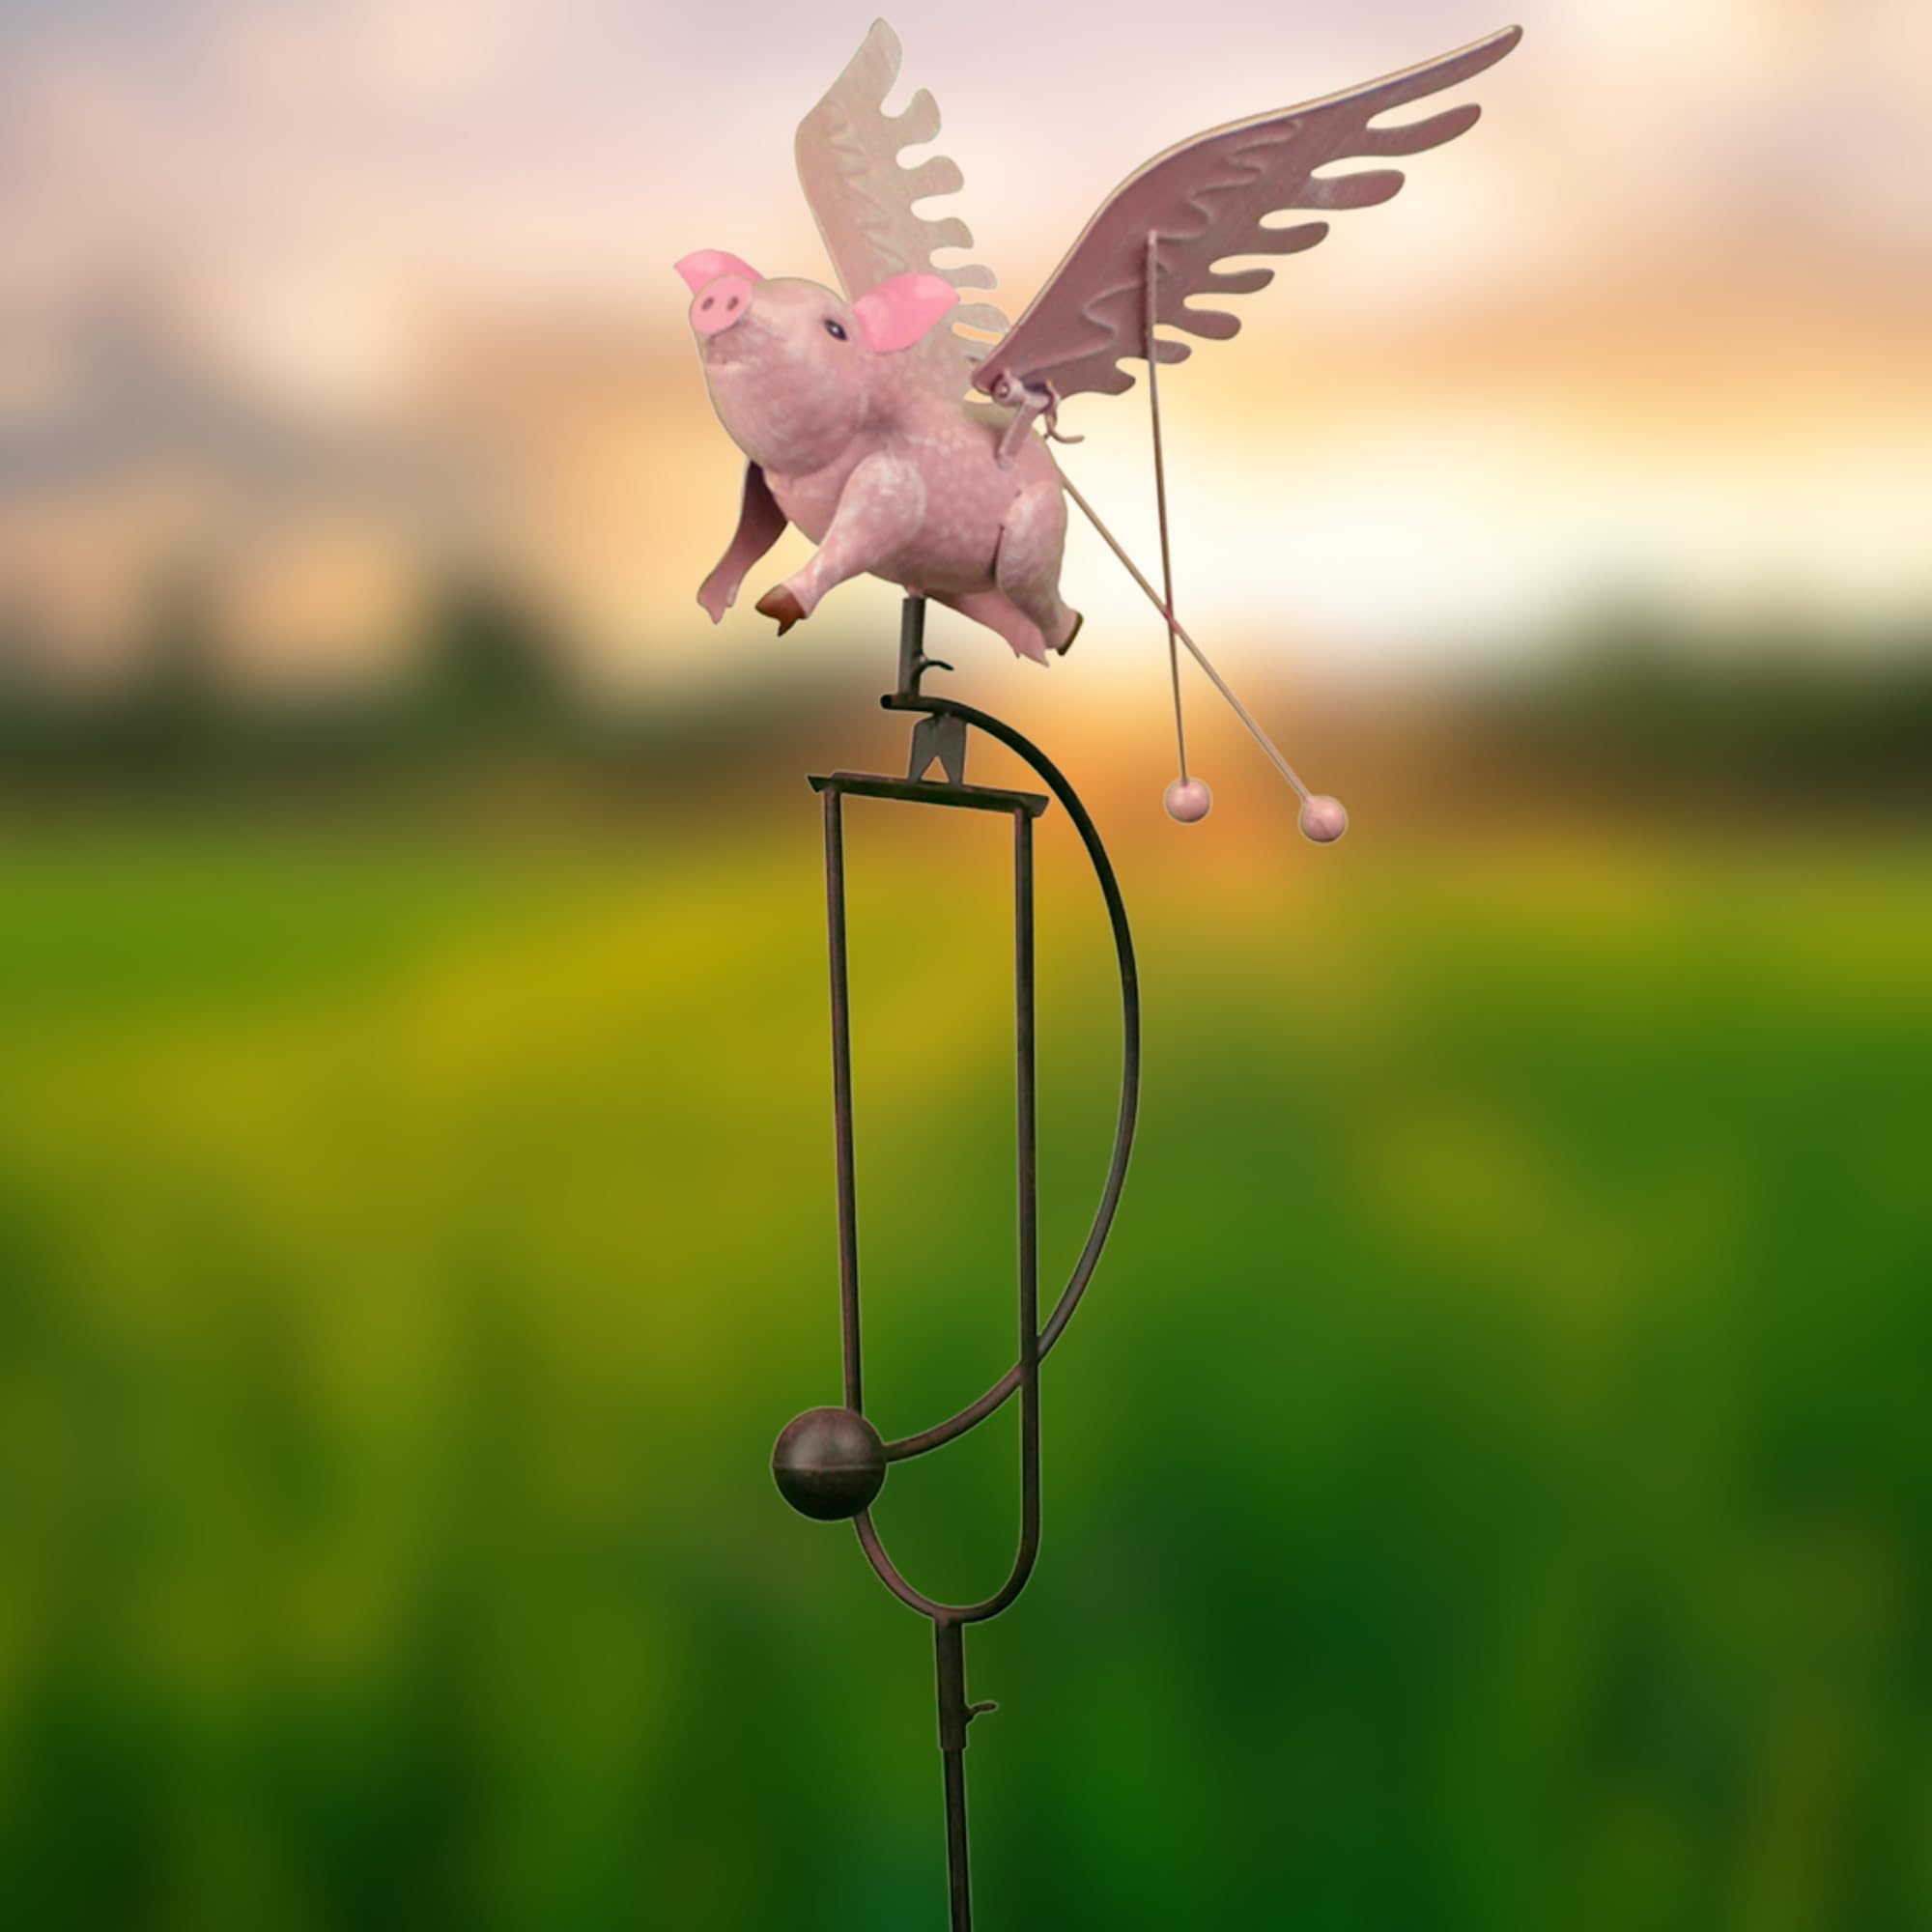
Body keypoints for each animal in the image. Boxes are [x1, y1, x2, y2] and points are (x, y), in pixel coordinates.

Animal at [676, 250, 1082, 664]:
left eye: (836, 329)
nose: (727, 291)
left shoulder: (895, 483)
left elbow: (860, 533)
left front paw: (775, 605)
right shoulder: (760, 476)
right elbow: (753, 526)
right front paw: (710, 601)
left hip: (1036, 527)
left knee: (1035, 590)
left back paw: (1067, 636)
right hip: (952, 583)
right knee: (986, 602)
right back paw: (1032, 647)